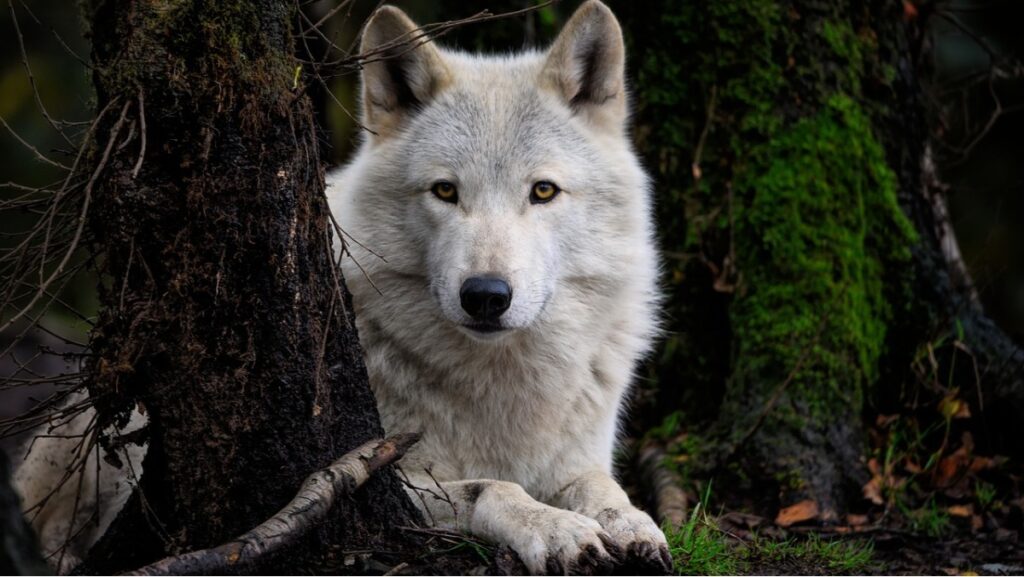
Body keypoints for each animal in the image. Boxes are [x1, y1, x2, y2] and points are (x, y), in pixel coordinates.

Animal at [326, 1, 667, 573]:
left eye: (543, 191)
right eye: (445, 190)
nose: (485, 295)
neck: (503, 386)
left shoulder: (579, 459)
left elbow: (603, 488)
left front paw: (633, 523)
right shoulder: (396, 479)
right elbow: (497, 487)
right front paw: (557, 530)